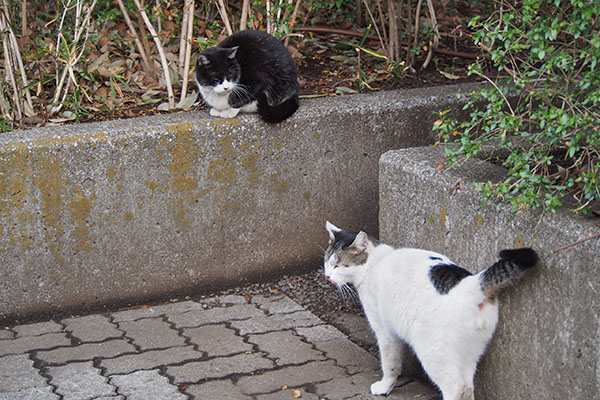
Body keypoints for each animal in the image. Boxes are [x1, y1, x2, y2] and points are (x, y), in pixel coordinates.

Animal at [324, 222, 540, 400]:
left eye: (338, 265)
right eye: (327, 262)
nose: (326, 276)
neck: (375, 262)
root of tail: (474, 284)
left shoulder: (385, 331)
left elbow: (390, 363)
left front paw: (385, 387)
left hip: (433, 352)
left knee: (456, 387)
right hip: (470, 354)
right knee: (468, 387)